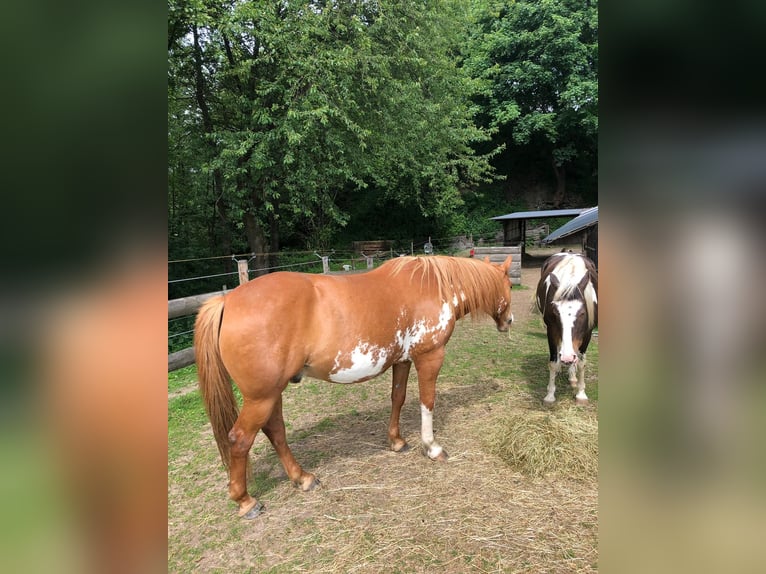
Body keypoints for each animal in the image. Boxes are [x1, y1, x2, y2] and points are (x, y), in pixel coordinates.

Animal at [194, 255, 514, 518]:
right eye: (509, 284)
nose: (509, 321)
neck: (434, 287)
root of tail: (227, 301)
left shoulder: (402, 361)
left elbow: (398, 397)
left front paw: (397, 441)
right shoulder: (429, 357)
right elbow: (428, 401)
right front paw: (432, 447)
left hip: (271, 394)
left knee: (276, 432)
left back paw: (302, 478)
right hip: (261, 397)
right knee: (239, 439)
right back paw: (245, 501)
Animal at [535, 252, 598, 405]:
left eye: (582, 313)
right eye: (556, 313)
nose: (567, 357)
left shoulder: (587, 333)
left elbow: (581, 363)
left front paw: (581, 394)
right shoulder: (551, 330)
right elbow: (553, 362)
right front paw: (550, 395)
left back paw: (572, 375)